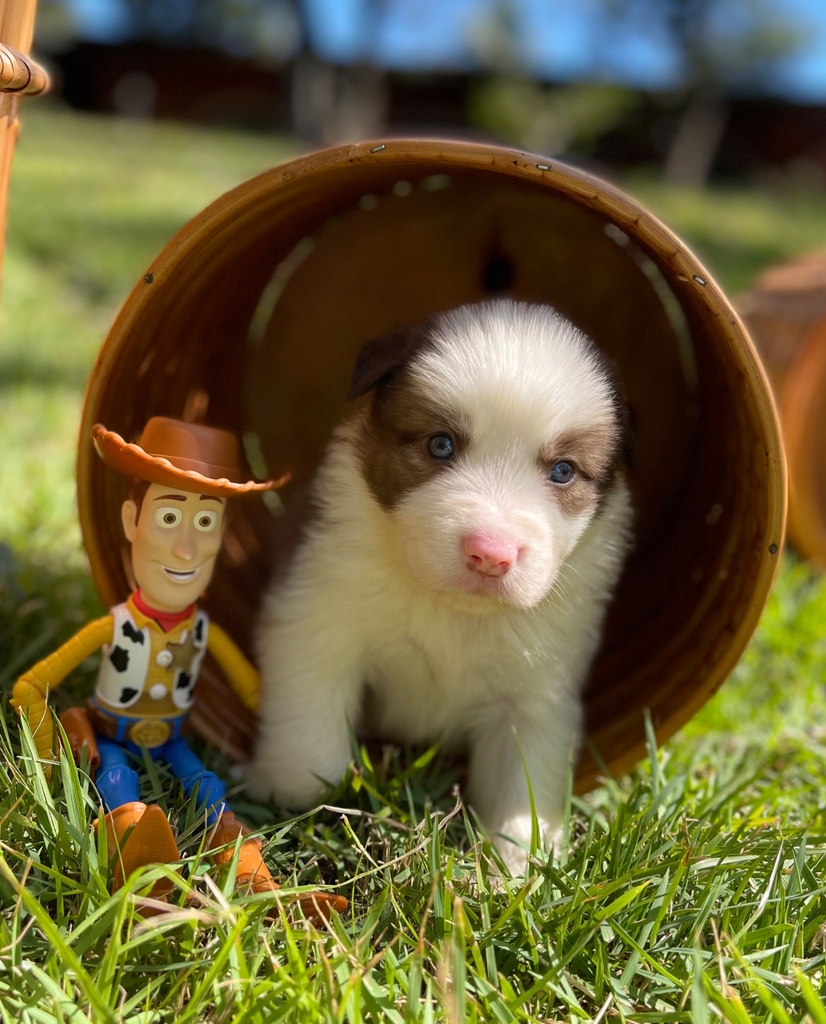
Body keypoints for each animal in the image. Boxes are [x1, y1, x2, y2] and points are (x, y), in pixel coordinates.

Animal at [250, 299, 634, 872]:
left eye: (563, 471)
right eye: (441, 445)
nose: (491, 554)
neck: (453, 608)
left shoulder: (537, 691)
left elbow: (523, 783)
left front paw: (517, 868)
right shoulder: (316, 611)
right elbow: (310, 735)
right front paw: (296, 799)